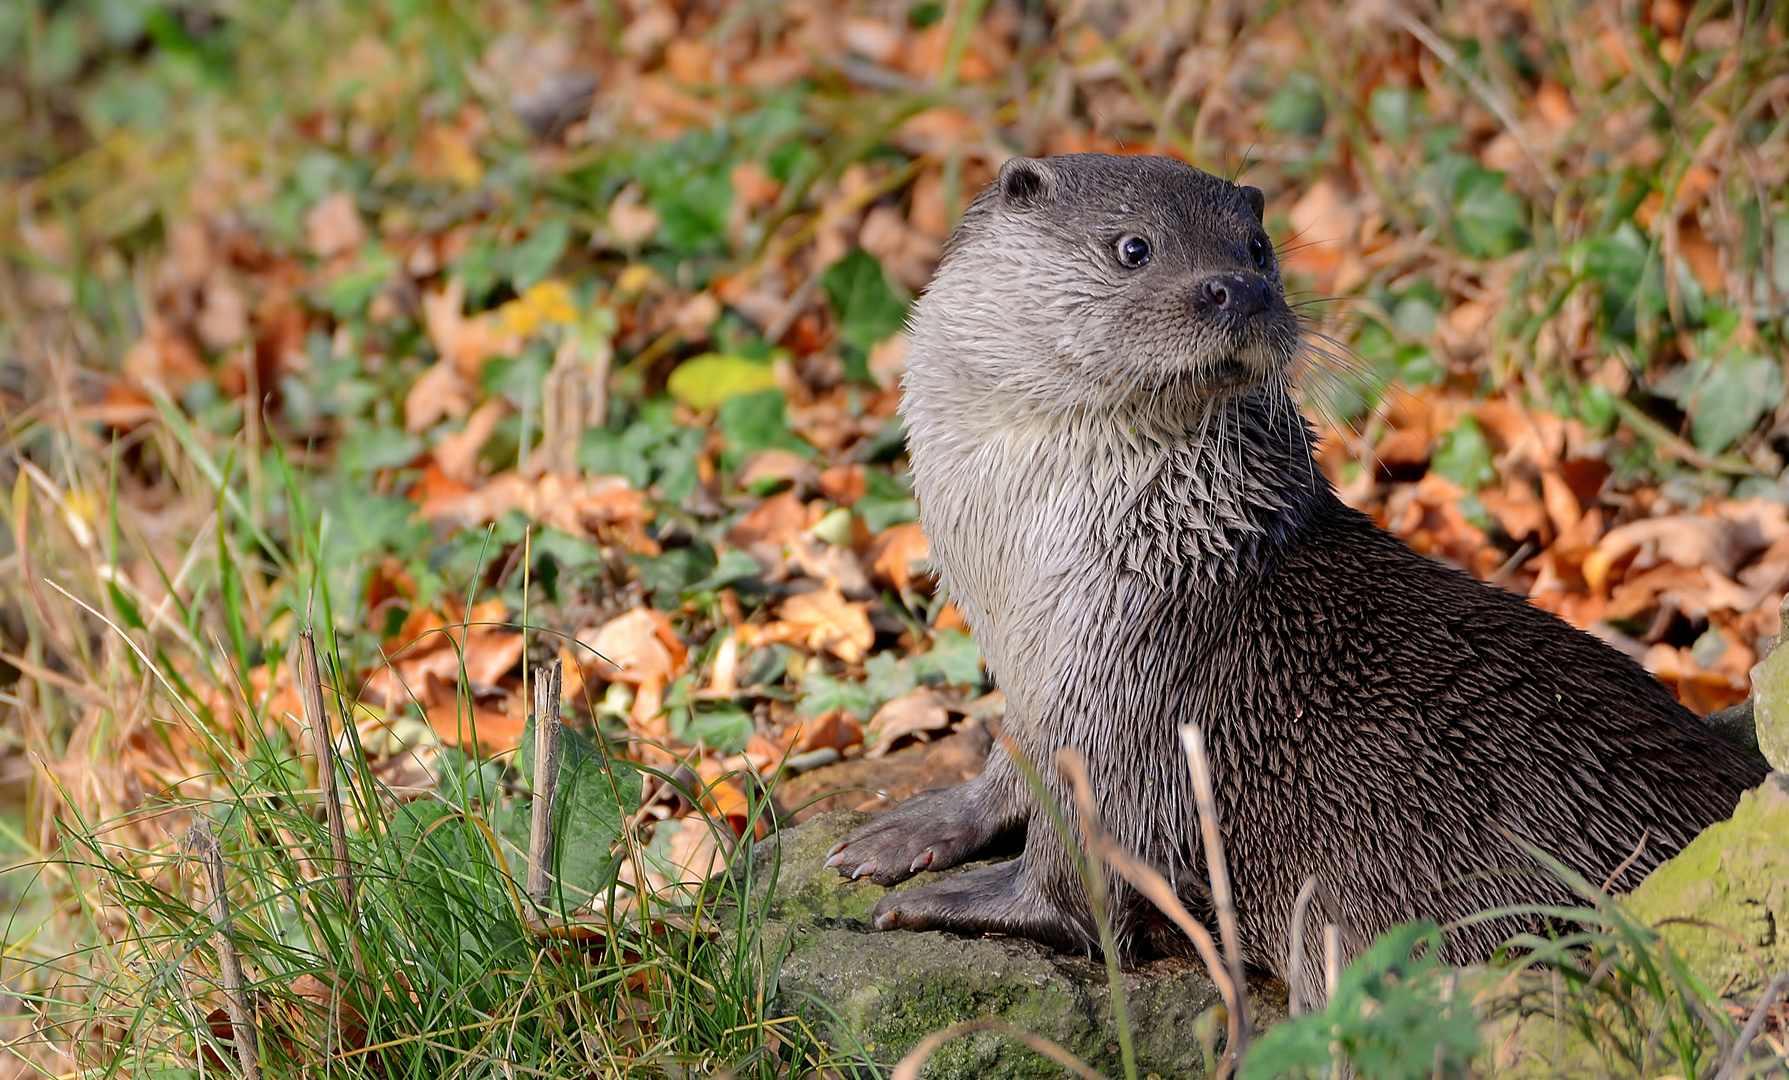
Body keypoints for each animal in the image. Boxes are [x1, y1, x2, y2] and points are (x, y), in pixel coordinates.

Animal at [822, 156, 1774, 1008]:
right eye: (1133, 247)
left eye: (1256, 246)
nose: (1236, 290)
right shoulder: (1038, 682)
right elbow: (1009, 763)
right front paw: (914, 830)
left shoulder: (1130, 696)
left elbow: (1078, 881)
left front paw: (955, 903)